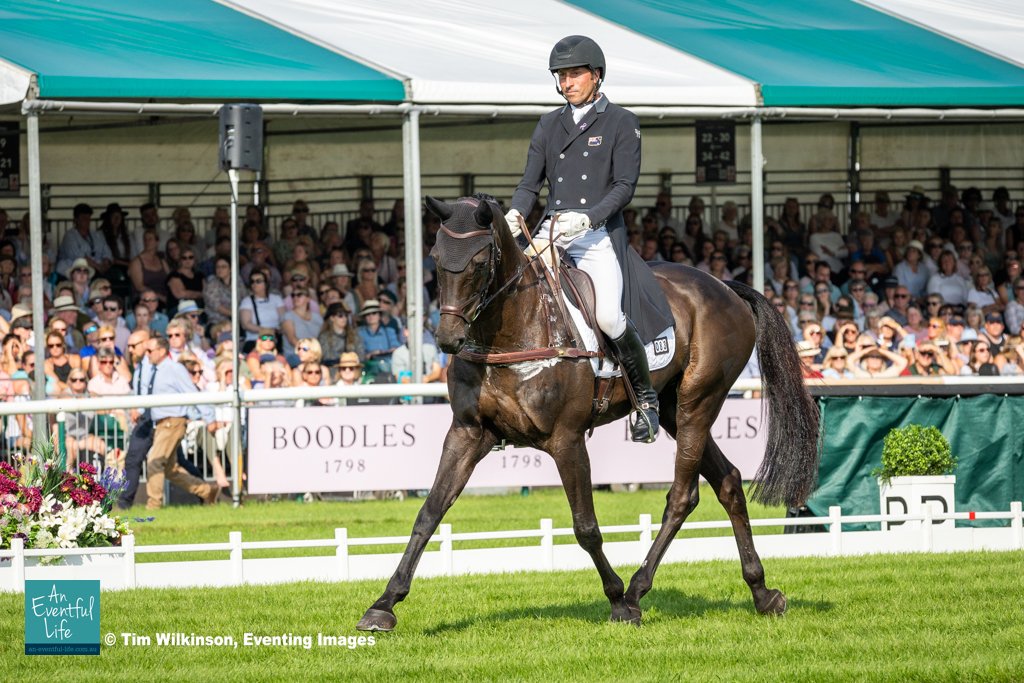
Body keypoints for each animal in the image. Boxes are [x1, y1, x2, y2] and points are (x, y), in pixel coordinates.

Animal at [357, 196, 820, 631]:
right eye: (436, 259)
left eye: (479, 262)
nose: (448, 339)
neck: (512, 331)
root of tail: (723, 286)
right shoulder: (467, 433)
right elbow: (429, 513)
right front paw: (383, 605)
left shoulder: (566, 440)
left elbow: (586, 526)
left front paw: (616, 602)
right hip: (674, 407)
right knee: (728, 481)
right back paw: (762, 593)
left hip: (698, 402)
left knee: (681, 496)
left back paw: (636, 591)